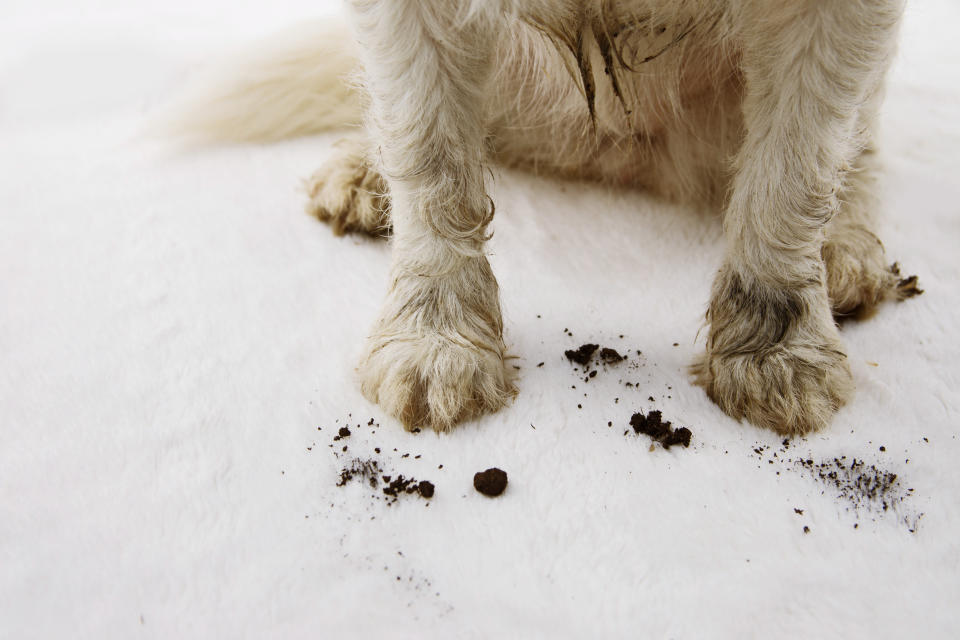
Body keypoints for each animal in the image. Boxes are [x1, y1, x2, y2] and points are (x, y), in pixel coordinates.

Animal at [176, 0, 920, 436]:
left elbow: (794, 167)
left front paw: (777, 350)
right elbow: (427, 152)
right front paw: (435, 340)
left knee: (859, 141)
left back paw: (847, 248)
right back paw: (363, 171)